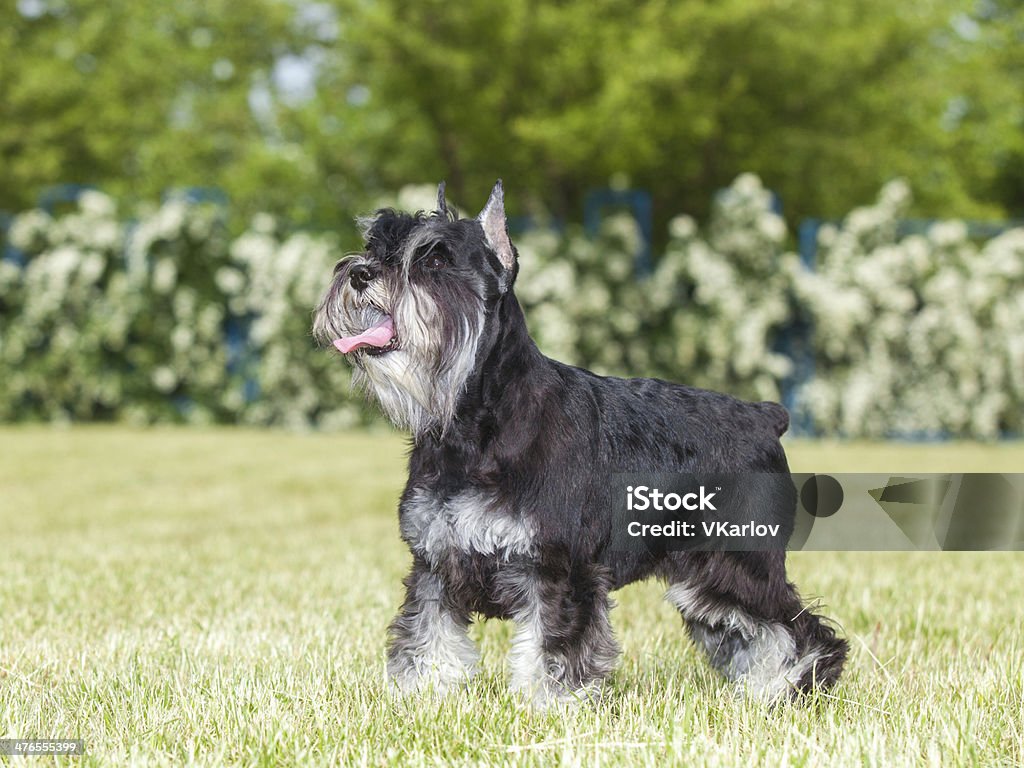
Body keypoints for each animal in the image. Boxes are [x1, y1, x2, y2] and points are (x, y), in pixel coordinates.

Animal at [311, 182, 847, 708]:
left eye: (436, 259)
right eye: (374, 244)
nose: (359, 274)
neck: (474, 427)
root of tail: (765, 416)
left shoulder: (559, 570)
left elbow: (552, 649)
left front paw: (548, 709)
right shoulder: (434, 567)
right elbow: (426, 639)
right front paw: (418, 699)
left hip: (739, 565)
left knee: (804, 630)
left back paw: (791, 689)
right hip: (705, 583)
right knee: (749, 634)